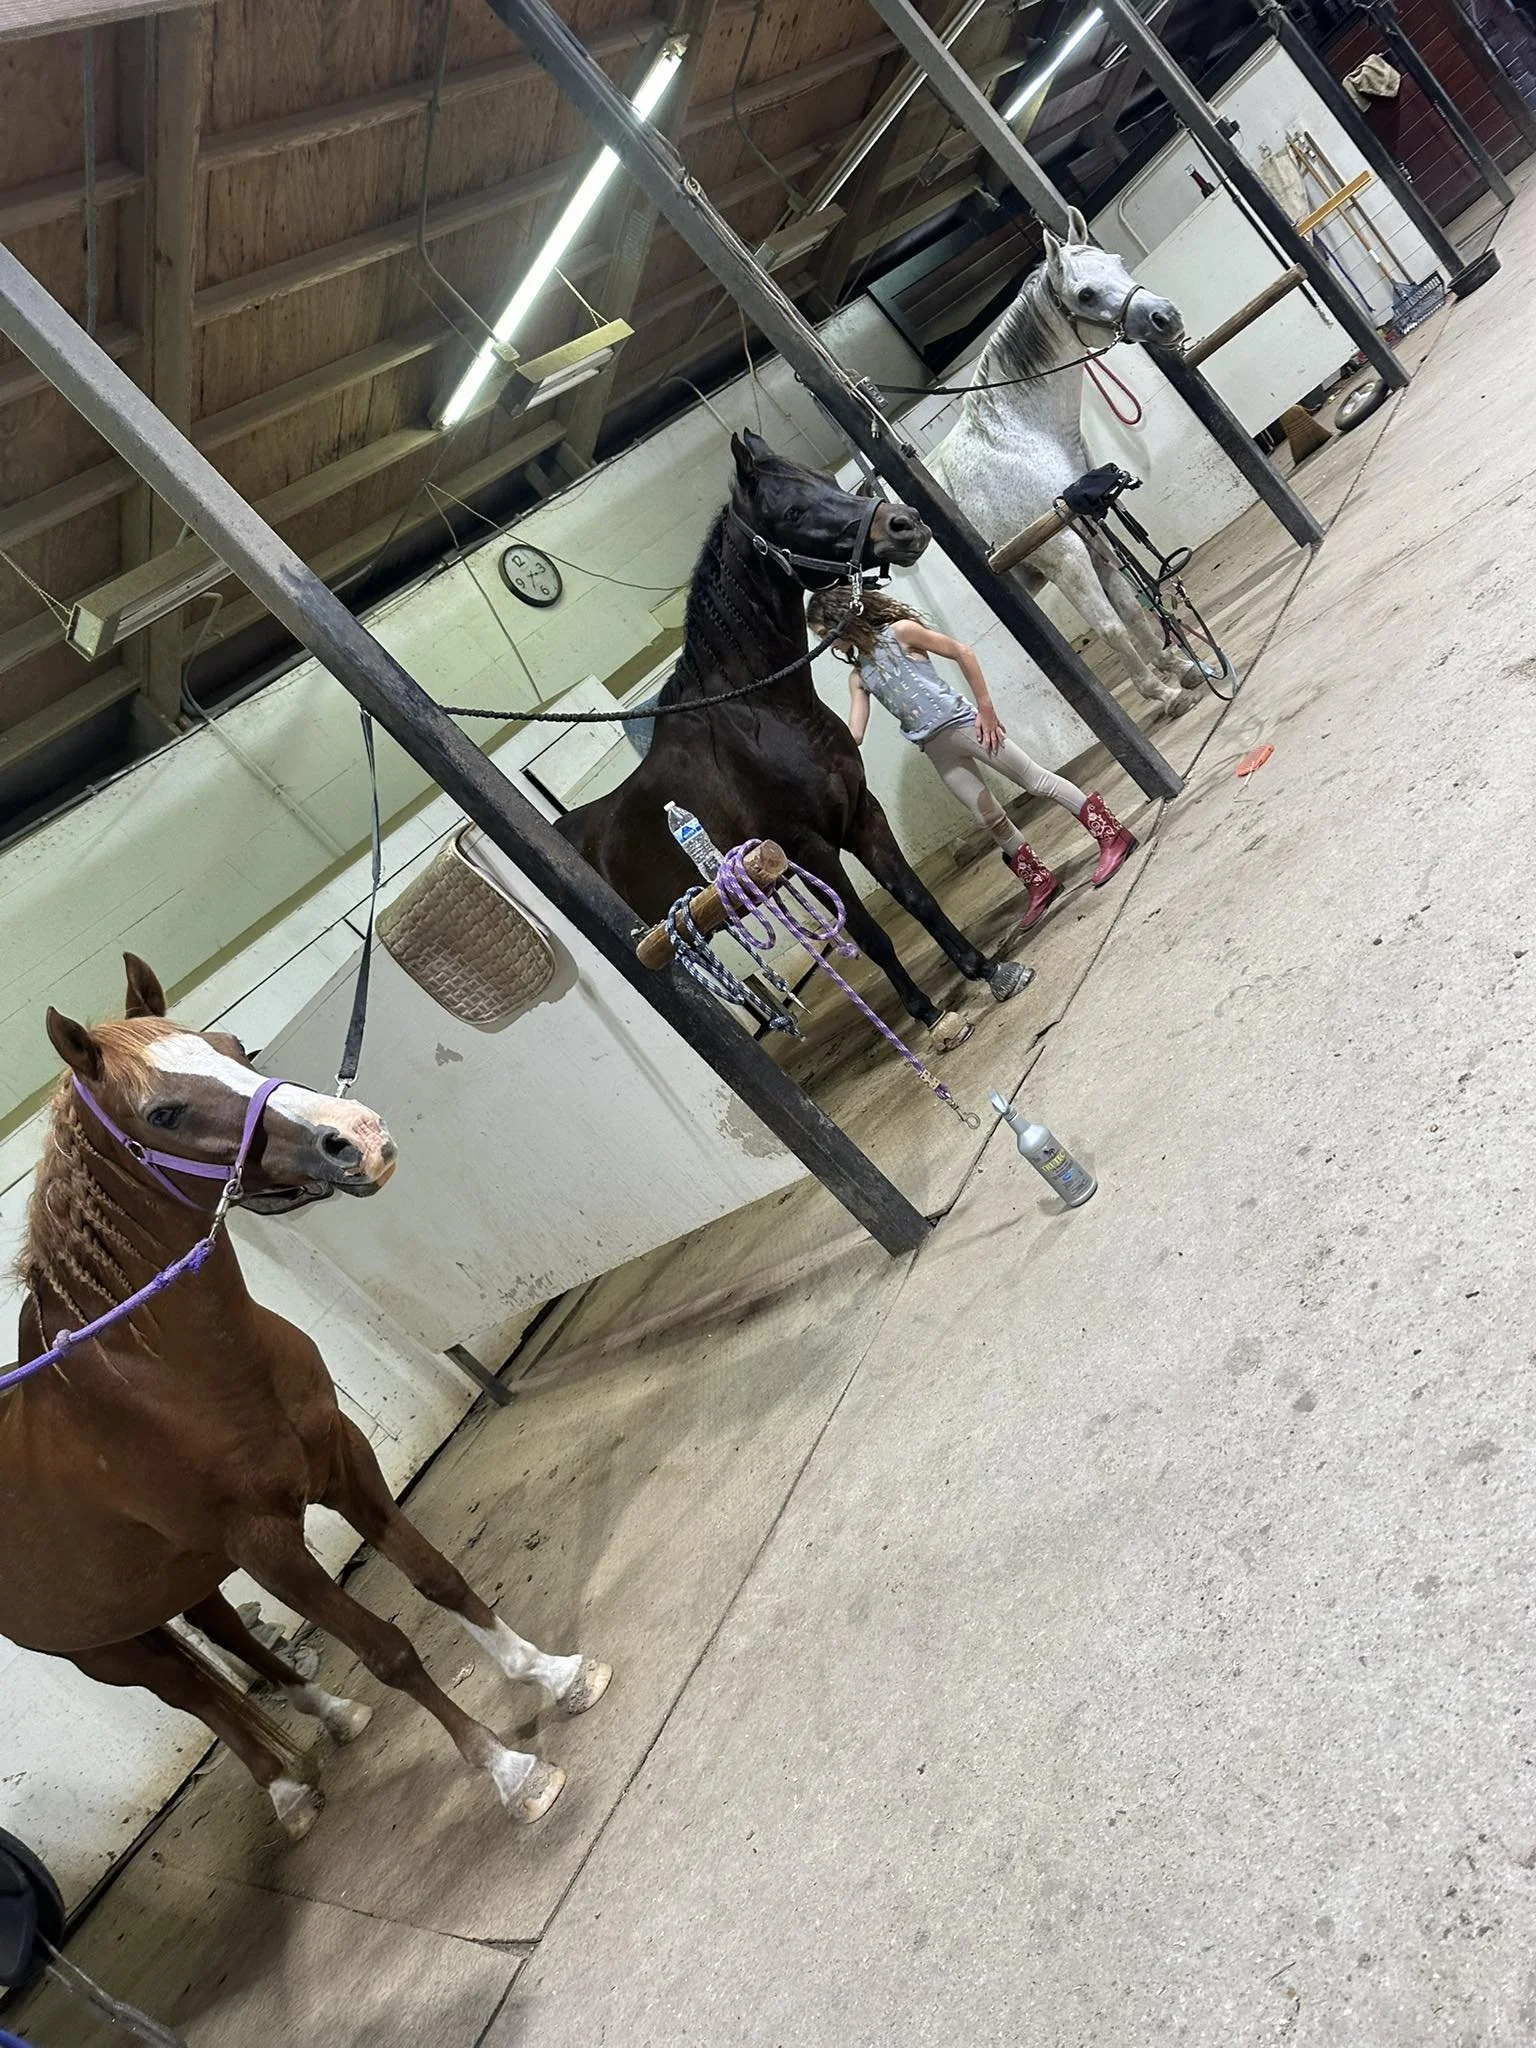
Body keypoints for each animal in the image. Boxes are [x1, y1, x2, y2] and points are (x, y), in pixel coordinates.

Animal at [0, 956, 610, 1840]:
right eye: (164, 1112)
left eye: (231, 1045)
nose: (356, 1135)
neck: (165, 1383)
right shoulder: (268, 1545)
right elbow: (389, 1651)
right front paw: (510, 1771)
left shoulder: (343, 1458)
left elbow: (440, 1580)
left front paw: (553, 1674)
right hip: (104, 1648)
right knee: (189, 1695)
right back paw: (285, 1792)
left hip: (184, 1581)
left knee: (228, 1640)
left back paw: (333, 1715)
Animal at [560, 429, 1029, 1044]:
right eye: (793, 512)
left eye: (827, 480)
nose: (906, 524)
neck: (766, 716)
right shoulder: (807, 846)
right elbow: (871, 933)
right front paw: (929, 1013)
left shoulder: (861, 814)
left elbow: (916, 898)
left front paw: (986, 968)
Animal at [928, 207, 1204, 717]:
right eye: (1085, 294)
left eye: (1117, 262)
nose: (1165, 317)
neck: (1019, 438)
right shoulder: (1065, 557)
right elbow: (1111, 627)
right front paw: (1164, 694)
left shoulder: (1092, 532)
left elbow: (1131, 610)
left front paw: (1181, 668)